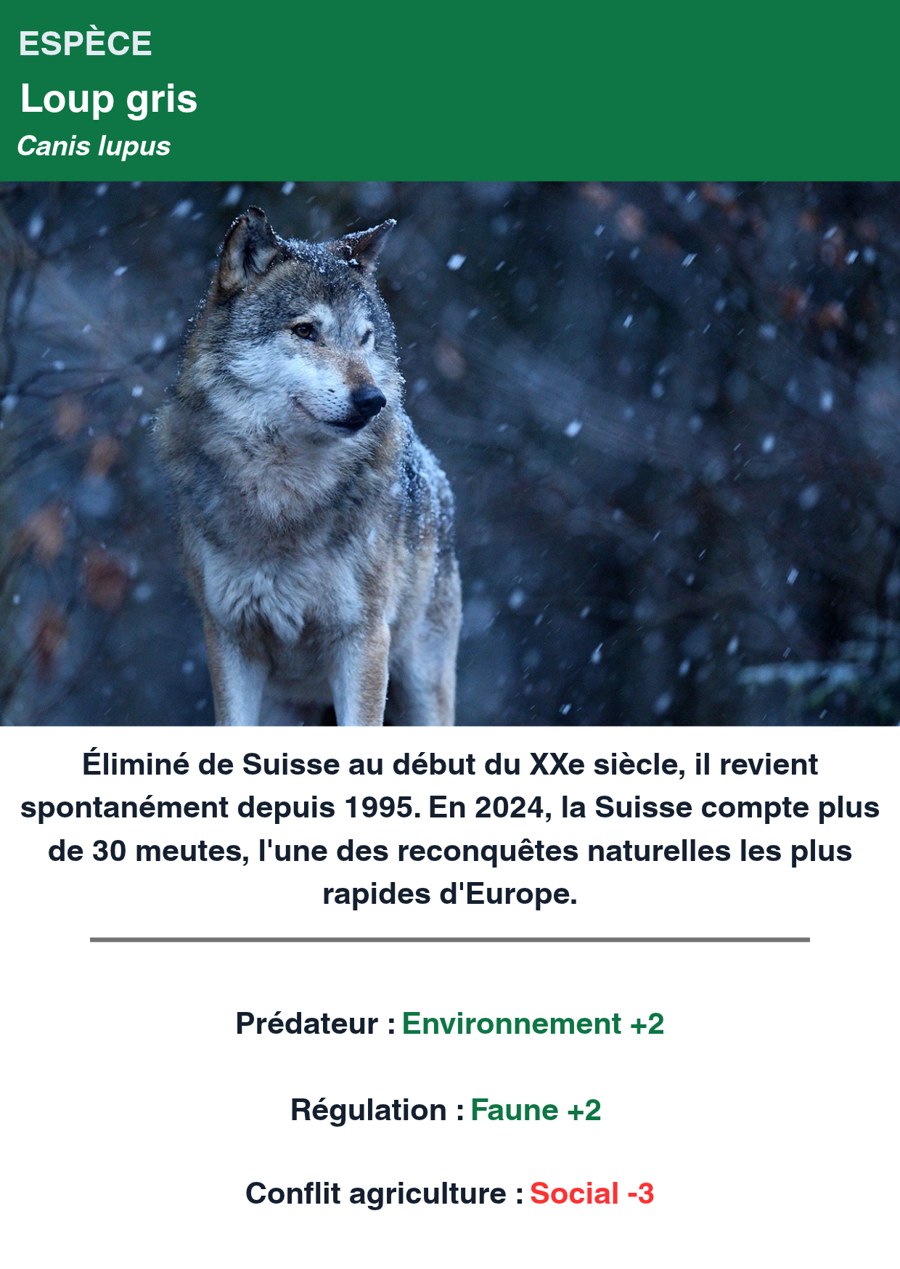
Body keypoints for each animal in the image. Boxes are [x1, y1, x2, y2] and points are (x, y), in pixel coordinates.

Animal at [156, 207, 460, 725]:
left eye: (364, 338)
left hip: (422, 687)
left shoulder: (362, 640)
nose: (372, 400)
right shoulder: (230, 638)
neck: (284, 497)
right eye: (305, 330)